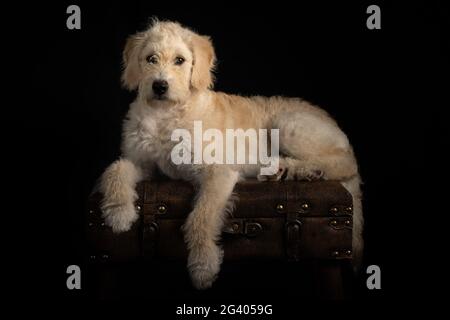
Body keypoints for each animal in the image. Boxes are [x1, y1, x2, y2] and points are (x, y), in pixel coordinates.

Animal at [98, 20, 362, 290]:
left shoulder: (218, 171)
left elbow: (201, 217)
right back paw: (289, 171)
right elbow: (115, 169)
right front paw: (119, 211)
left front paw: (203, 265)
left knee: (345, 162)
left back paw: (293, 168)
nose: (159, 86)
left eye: (180, 60)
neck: (166, 114)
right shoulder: (145, 165)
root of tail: (330, 121)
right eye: (151, 58)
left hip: (288, 125)